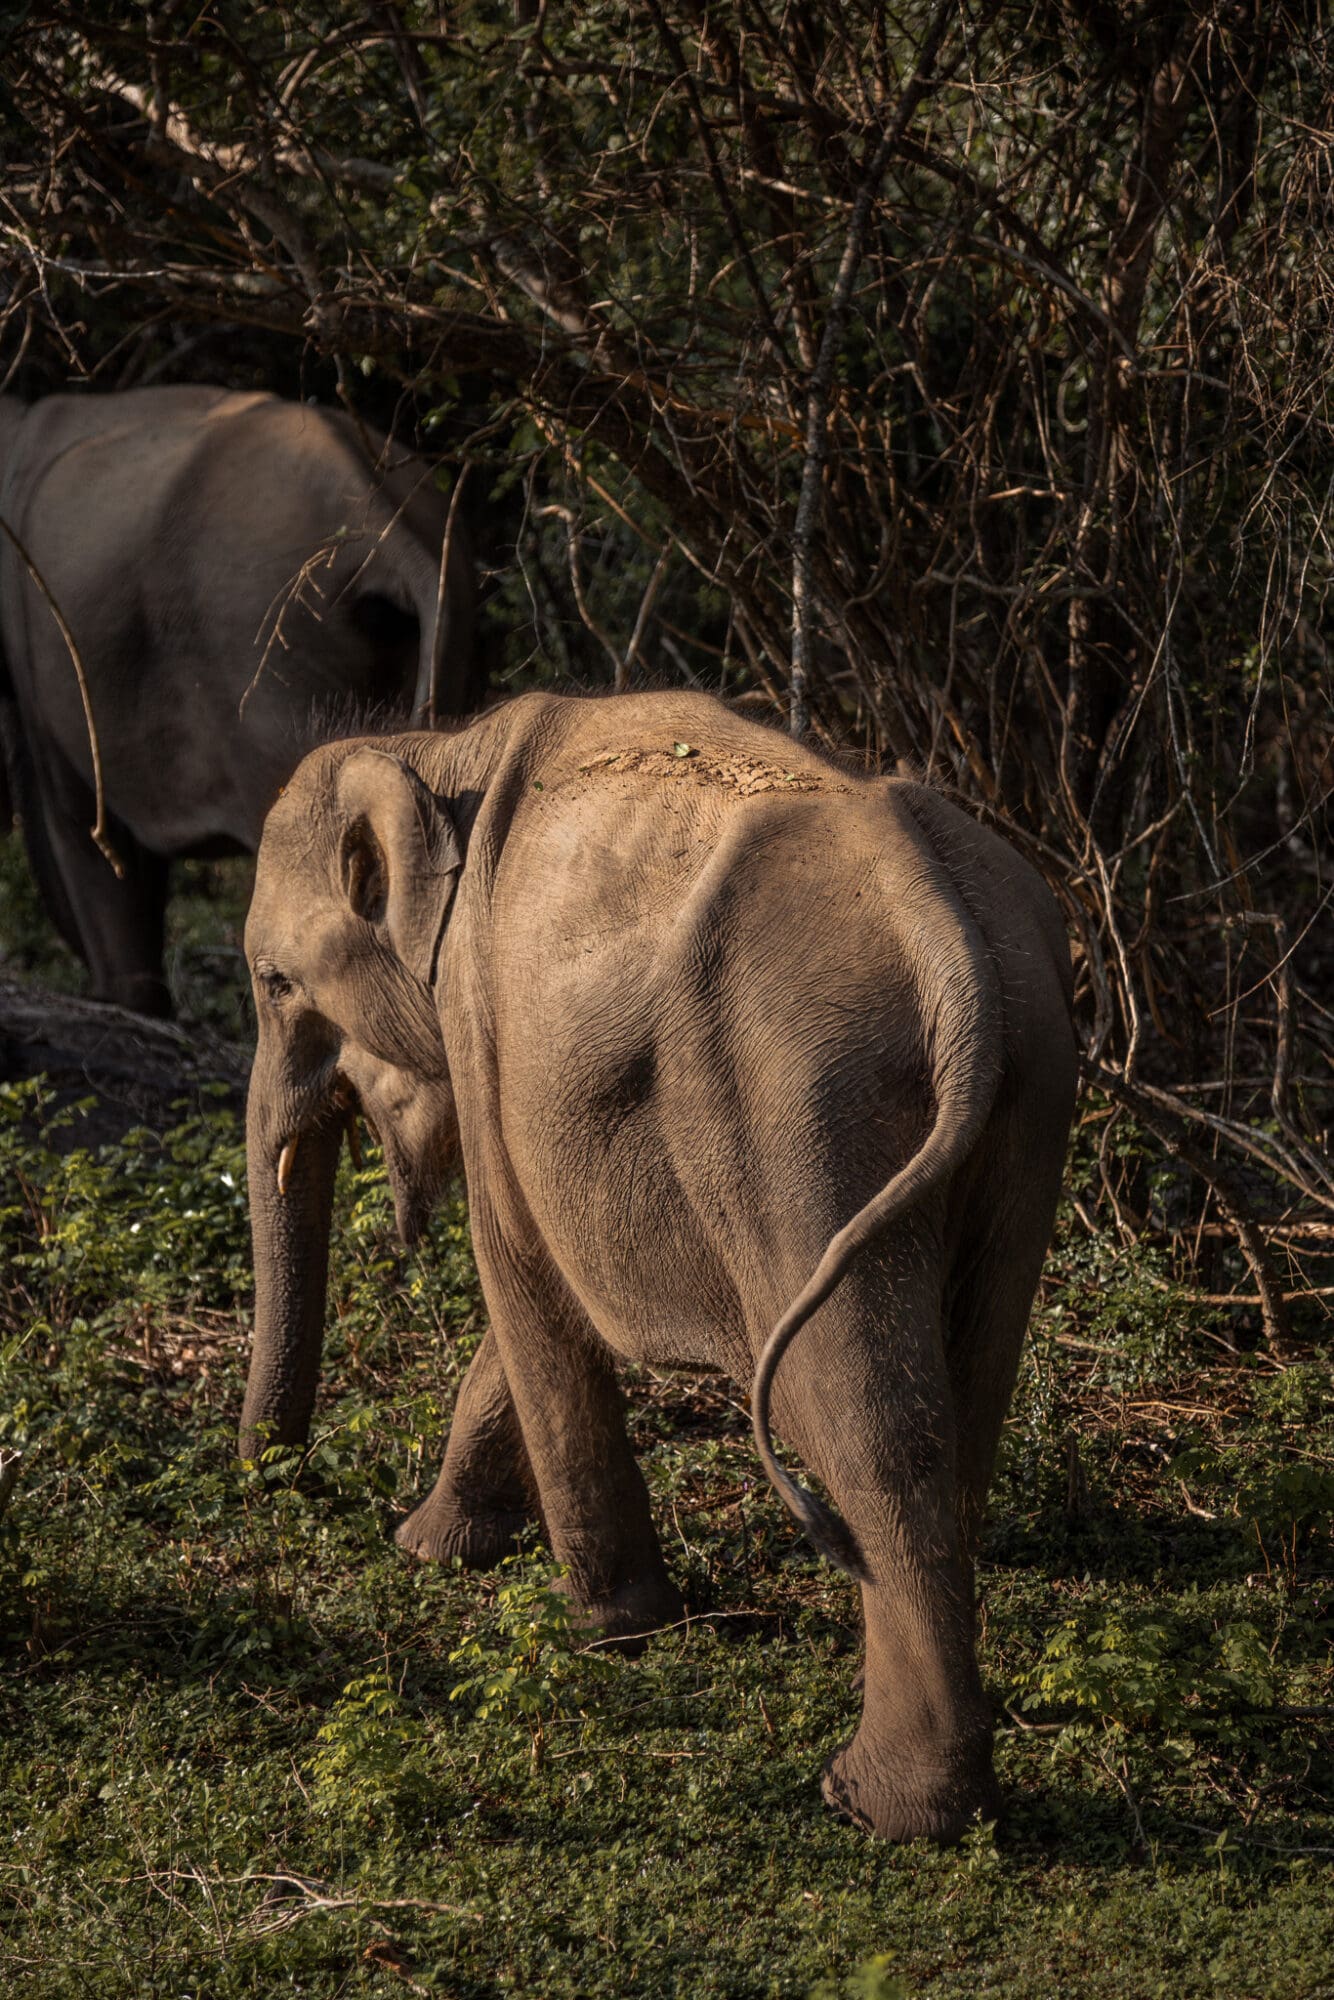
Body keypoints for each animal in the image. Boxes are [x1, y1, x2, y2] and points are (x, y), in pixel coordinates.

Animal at [238, 689, 1077, 1842]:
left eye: (273, 981)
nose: (273, 1477)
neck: (438, 747)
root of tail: (946, 939)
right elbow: (537, 1304)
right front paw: (434, 1548)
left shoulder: (485, 1030)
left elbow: (522, 1279)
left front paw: (601, 1626)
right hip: (1029, 1096)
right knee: (970, 1378)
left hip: (800, 1118)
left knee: (868, 1423)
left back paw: (882, 1807)